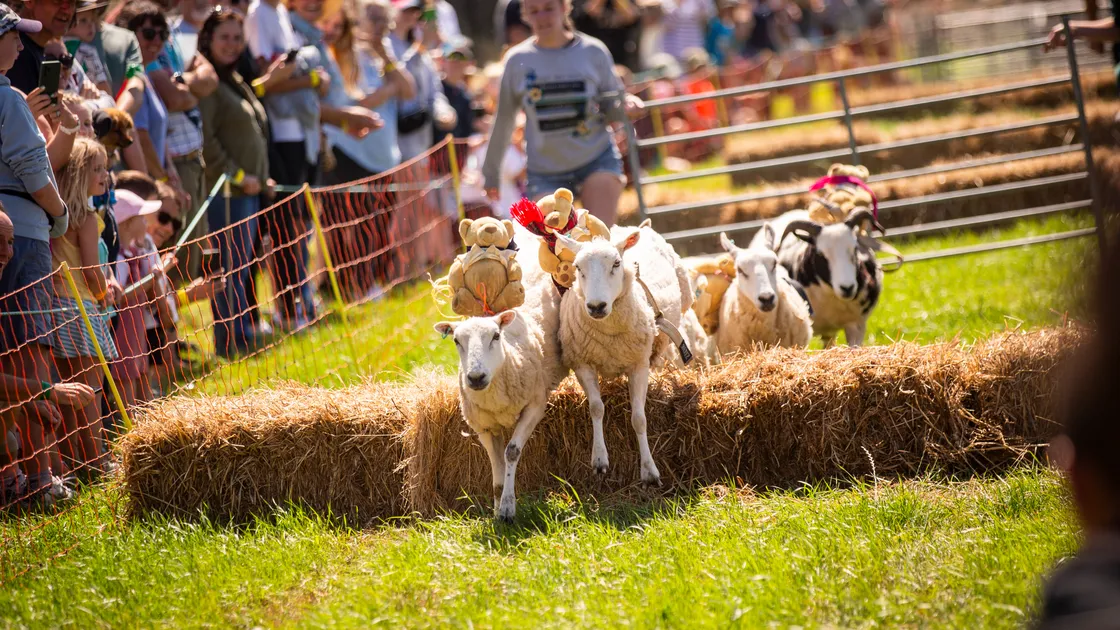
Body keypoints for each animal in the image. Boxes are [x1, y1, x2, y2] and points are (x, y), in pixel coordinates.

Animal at [433, 228, 567, 523]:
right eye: (456, 341)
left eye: (496, 336)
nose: (475, 377)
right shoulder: (482, 426)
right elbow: (494, 465)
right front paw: (496, 509)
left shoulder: (535, 406)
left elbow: (511, 452)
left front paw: (507, 508)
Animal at [554, 223, 693, 486]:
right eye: (577, 267)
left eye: (616, 263)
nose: (596, 306)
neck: (609, 335)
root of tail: (633, 227)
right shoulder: (582, 364)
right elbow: (596, 408)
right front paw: (599, 459)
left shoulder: (639, 365)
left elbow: (639, 419)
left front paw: (649, 471)